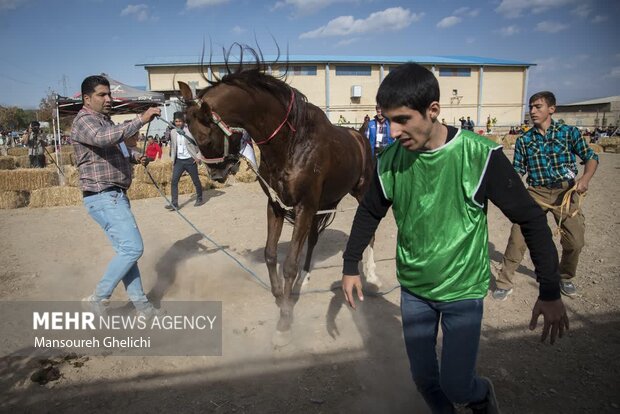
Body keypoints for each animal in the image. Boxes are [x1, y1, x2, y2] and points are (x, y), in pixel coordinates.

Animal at [177, 47, 376, 346]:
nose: (217, 174)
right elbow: (271, 254)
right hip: (327, 202)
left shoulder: (304, 207)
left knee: (370, 232)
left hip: (361, 193)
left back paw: (374, 276)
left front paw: (284, 322)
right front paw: (281, 295)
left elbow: (289, 264)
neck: (292, 144)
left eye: (205, 138)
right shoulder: (277, 206)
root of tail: (361, 135)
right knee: (314, 239)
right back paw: (304, 280)